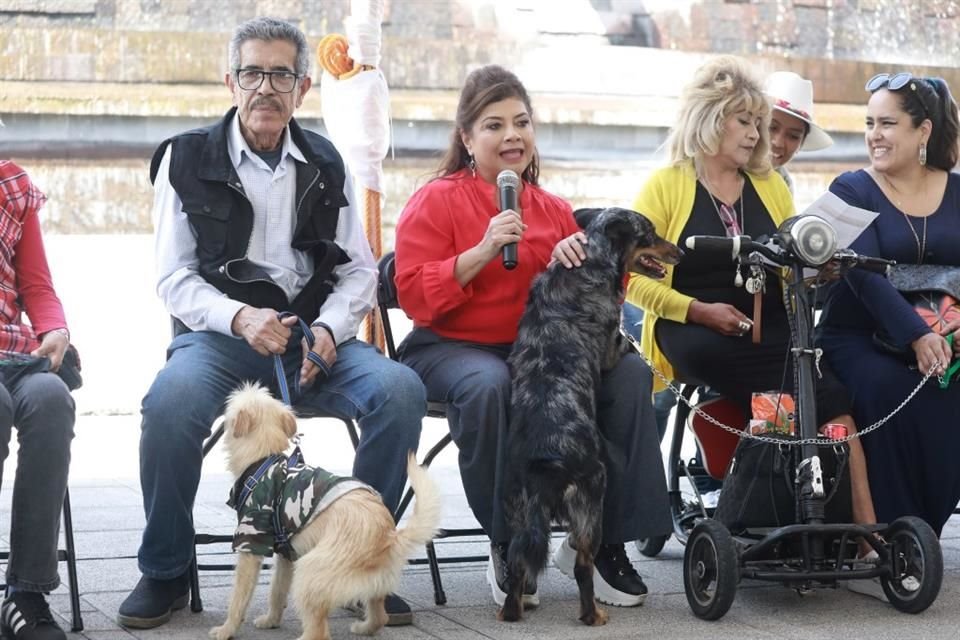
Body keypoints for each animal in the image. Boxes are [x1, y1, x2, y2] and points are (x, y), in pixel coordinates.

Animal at [208, 384, 440, 640]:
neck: (264, 458)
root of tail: (388, 538)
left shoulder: (251, 544)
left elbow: (239, 597)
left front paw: (227, 629)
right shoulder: (287, 555)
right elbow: (277, 591)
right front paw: (271, 620)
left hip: (309, 572)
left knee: (319, 632)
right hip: (368, 587)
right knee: (380, 616)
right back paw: (364, 627)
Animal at [496, 206, 684, 624]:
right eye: (649, 234)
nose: (680, 252)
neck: (589, 262)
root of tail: (546, 463)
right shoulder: (612, 344)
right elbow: (622, 345)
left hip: (518, 506)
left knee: (518, 558)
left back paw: (512, 611)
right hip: (591, 498)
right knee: (583, 564)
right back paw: (592, 615)